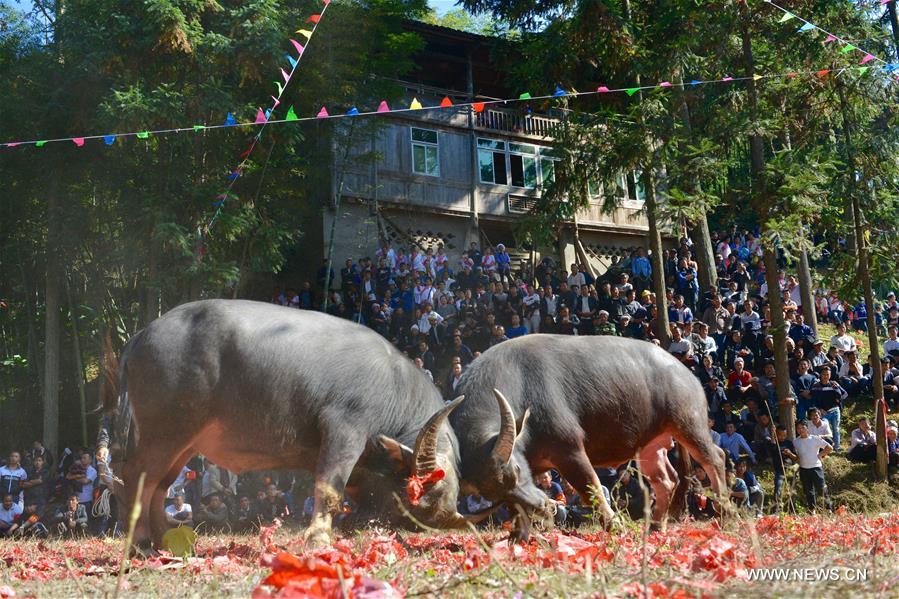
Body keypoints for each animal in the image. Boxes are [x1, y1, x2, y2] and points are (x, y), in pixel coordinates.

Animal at [100, 300, 472, 552]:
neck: (393, 385)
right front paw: (319, 539)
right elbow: (329, 487)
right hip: (164, 431)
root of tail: (140, 337)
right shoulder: (345, 428)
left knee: (159, 485)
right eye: (427, 493)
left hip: (184, 440)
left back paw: (166, 541)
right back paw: (141, 542)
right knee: (134, 477)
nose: (433, 520)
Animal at [450, 332, 732, 540]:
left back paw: (725, 512)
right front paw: (518, 536)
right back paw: (655, 526)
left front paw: (614, 526)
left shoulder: (570, 449)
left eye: (516, 471)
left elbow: (591, 488)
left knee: (714, 458)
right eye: (493, 495)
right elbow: (517, 508)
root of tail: (685, 372)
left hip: (688, 424)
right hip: (650, 446)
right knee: (666, 480)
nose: (544, 507)